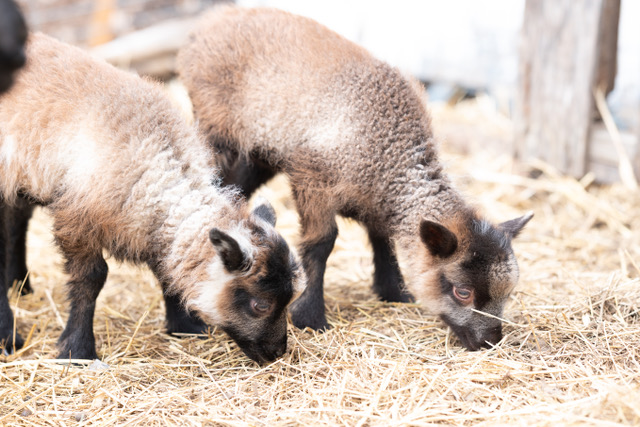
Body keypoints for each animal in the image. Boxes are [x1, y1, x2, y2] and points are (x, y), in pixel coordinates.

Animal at [0, 32, 305, 363]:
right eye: (260, 305)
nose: (277, 353)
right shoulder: (78, 220)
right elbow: (91, 279)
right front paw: (78, 349)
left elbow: (166, 271)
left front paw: (184, 327)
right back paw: (8, 333)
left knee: (16, 222)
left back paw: (19, 285)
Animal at [177, 6, 533, 351]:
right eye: (462, 292)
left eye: (508, 292)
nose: (489, 342)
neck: (391, 154)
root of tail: (212, 20)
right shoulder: (313, 179)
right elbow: (321, 244)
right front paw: (310, 317)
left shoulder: (375, 197)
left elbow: (382, 238)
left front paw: (394, 292)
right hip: (217, 129)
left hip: (258, 152)